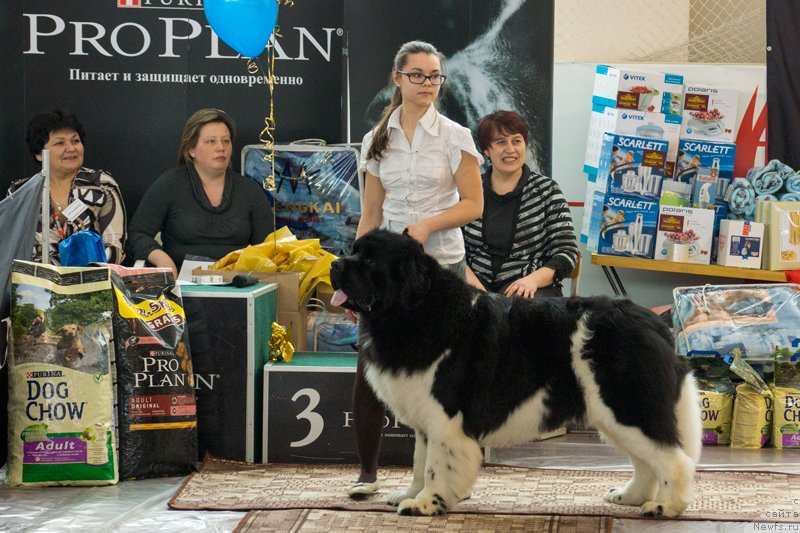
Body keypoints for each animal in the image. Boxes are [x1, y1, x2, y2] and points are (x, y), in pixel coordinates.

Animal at [330, 229, 700, 516]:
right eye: (353, 250)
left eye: (370, 262)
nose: (334, 262)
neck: (416, 309)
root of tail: (653, 321)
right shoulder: (425, 416)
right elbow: (419, 462)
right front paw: (409, 495)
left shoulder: (444, 417)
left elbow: (435, 465)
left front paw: (426, 504)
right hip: (615, 414)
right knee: (647, 461)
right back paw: (630, 497)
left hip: (626, 406)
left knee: (673, 460)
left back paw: (665, 507)